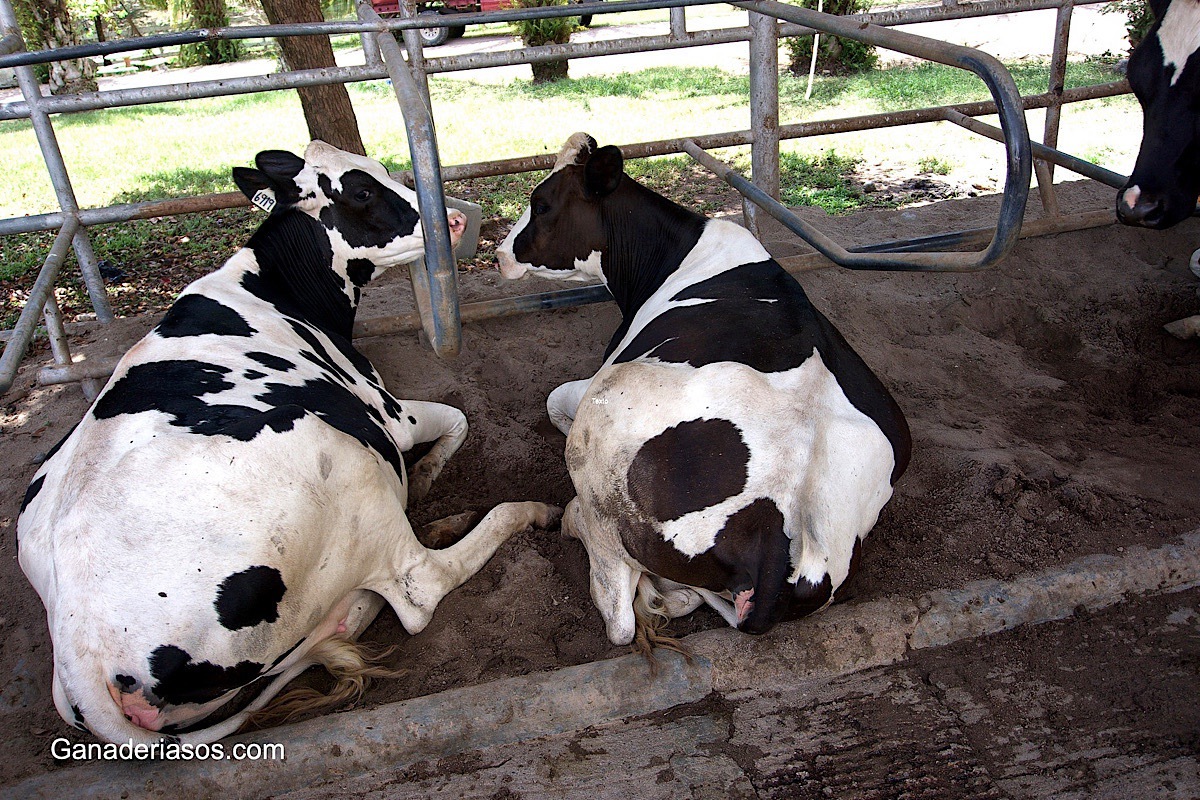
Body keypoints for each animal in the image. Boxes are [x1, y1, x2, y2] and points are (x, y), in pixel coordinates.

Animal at [18, 142, 559, 743]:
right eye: (361, 190)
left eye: (381, 170)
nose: (458, 221)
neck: (270, 287)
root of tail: (80, 653)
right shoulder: (390, 415)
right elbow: (458, 418)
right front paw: (425, 475)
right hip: (345, 463)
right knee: (421, 583)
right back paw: (523, 512)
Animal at [496, 136, 907, 652]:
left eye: (541, 202)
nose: (498, 254)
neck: (674, 252)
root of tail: (778, 528)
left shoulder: (599, 377)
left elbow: (553, 400)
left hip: (604, 437)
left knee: (618, 614)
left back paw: (575, 522)